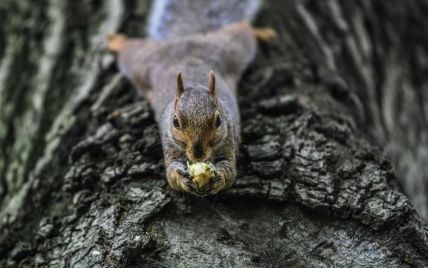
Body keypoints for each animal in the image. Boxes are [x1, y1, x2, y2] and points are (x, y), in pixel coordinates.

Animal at [105, 2, 276, 195]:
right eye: (175, 122)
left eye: (218, 121)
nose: (198, 154)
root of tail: (186, 38)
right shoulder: (169, 143)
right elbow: (171, 174)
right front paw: (181, 177)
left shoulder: (228, 139)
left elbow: (230, 172)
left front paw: (220, 178)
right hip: (142, 62)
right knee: (130, 49)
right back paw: (116, 41)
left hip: (232, 48)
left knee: (242, 29)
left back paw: (261, 32)